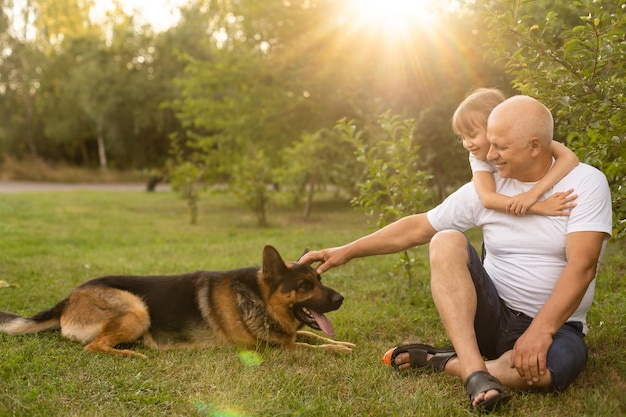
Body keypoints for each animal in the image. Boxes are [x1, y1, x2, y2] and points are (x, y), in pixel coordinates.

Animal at [0, 245, 352, 356]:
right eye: (304, 285)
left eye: (319, 280)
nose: (341, 299)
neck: (258, 299)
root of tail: (71, 296)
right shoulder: (274, 349)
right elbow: (311, 346)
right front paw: (338, 351)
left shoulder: (288, 336)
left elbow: (312, 335)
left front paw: (345, 344)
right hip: (136, 310)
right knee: (94, 346)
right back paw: (133, 354)